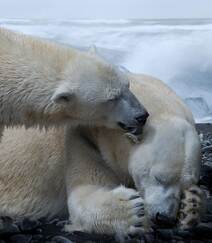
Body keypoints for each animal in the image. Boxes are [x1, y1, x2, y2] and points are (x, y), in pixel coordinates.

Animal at [0, 73, 203, 235]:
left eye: (186, 183)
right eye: (158, 177)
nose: (164, 218)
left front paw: (191, 205)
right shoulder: (82, 138)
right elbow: (86, 191)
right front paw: (132, 210)